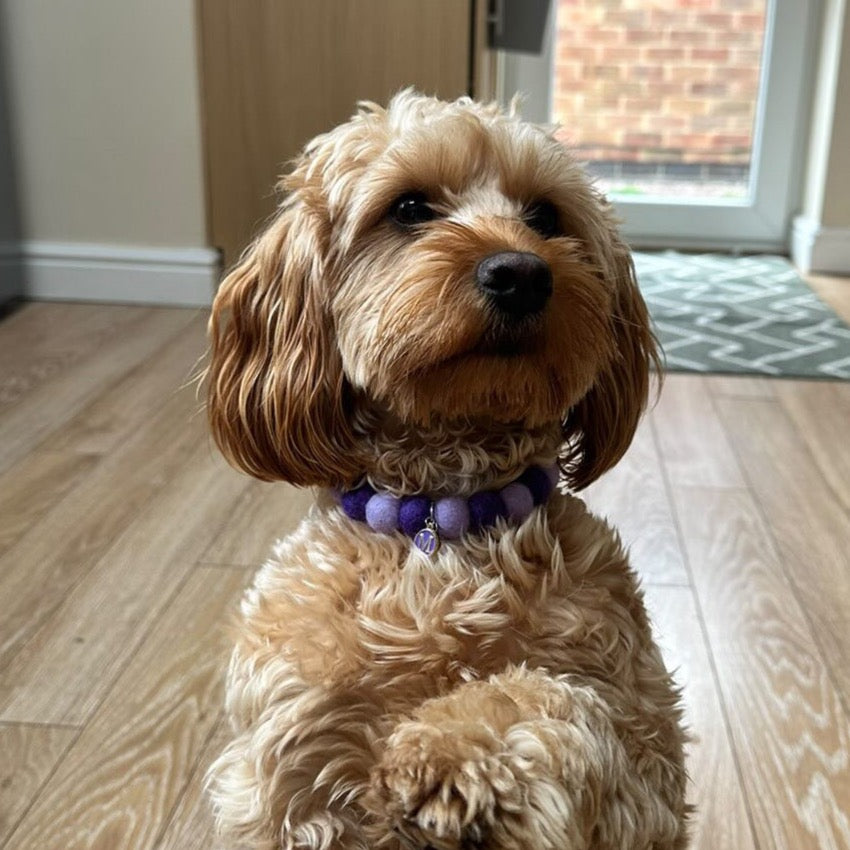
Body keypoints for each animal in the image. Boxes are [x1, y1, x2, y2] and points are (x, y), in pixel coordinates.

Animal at [205, 93, 688, 848]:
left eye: (545, 216)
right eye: (408, 207)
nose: (521, 272)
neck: (441, 516)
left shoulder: (643, 767)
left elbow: (548, 698)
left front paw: (442, 748)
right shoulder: (288, 755)